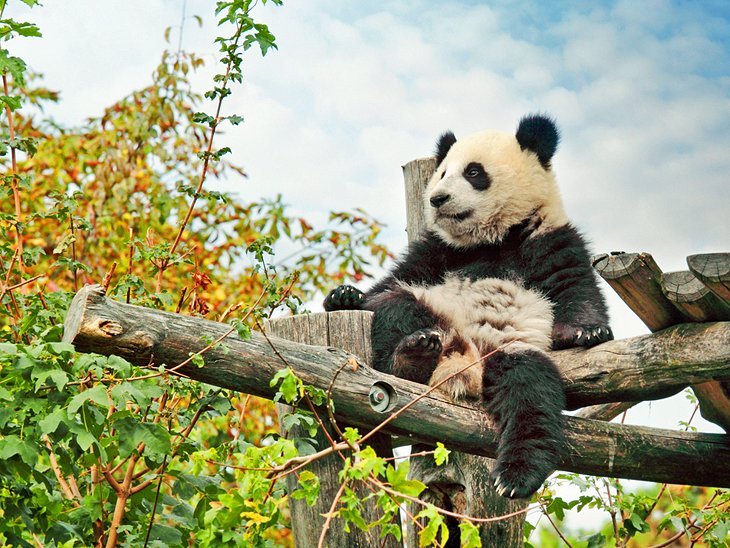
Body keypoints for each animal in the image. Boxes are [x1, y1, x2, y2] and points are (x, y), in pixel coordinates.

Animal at [322, 114, 608, 500]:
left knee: (530, 392)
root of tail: (464, 361)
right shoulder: (436, 250)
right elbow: (397, 278)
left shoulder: (548, 235)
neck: (492, 238)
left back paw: (516, 476)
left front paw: (587, 330)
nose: (437, 198)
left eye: (474, 172)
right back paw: (413, 355)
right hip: (429, 312)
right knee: (396, 306)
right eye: (442, 173)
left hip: (509, 351)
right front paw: (344, 295)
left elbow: (573, 284)